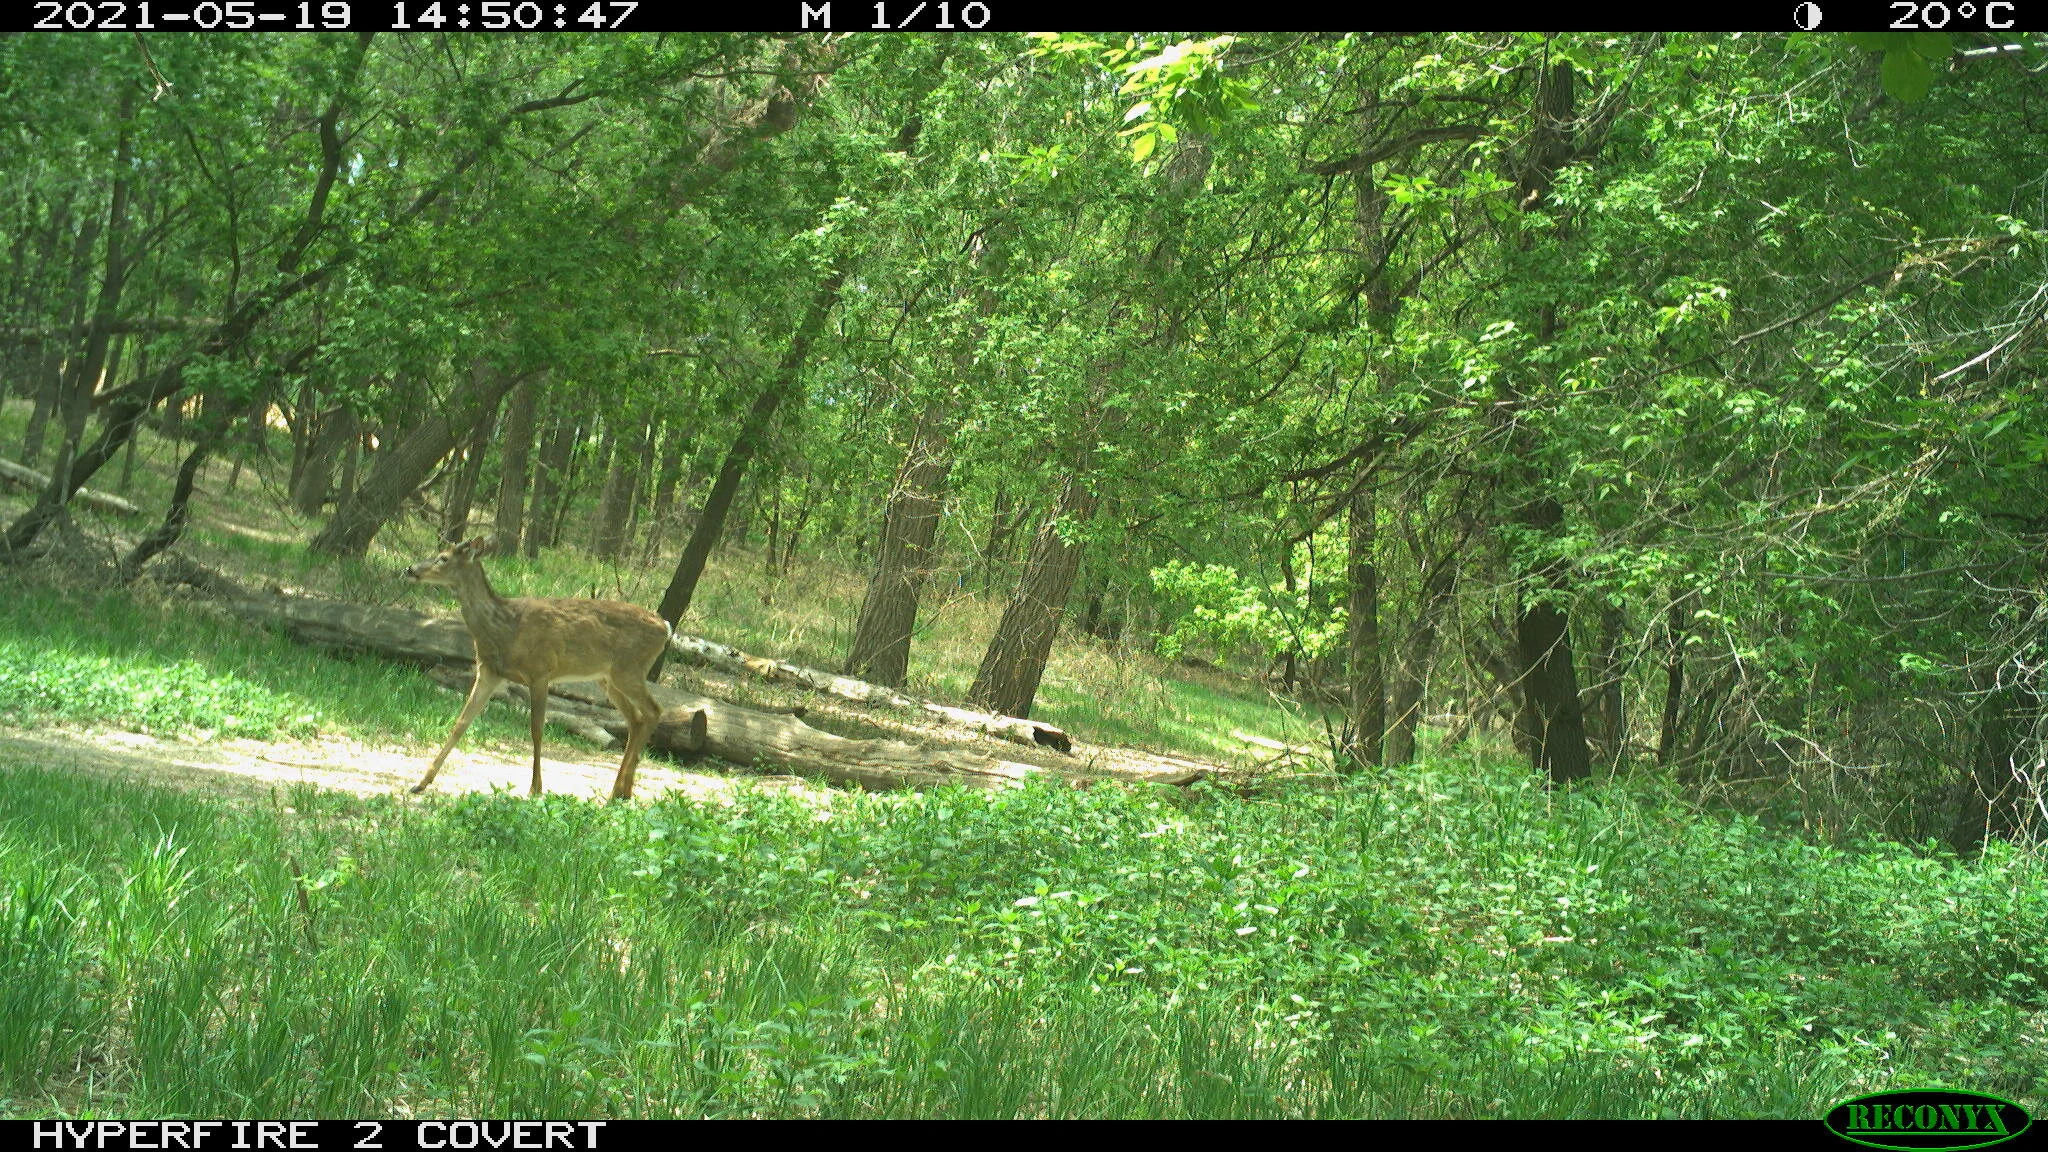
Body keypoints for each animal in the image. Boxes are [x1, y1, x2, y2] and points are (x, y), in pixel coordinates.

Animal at [403, 535, 670, 801]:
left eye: (443, 558)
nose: (410, 569)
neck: (505, 629)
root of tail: (666, 627)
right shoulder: (489, 670)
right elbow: (461, 723)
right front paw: (421, 783)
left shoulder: (540, 671)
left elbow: (536, 729)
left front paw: (535, 788)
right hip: (608, 678)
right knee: (636, 718)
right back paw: (620, 791)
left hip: (629, 669)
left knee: (654, 710)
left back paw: (621, 791)